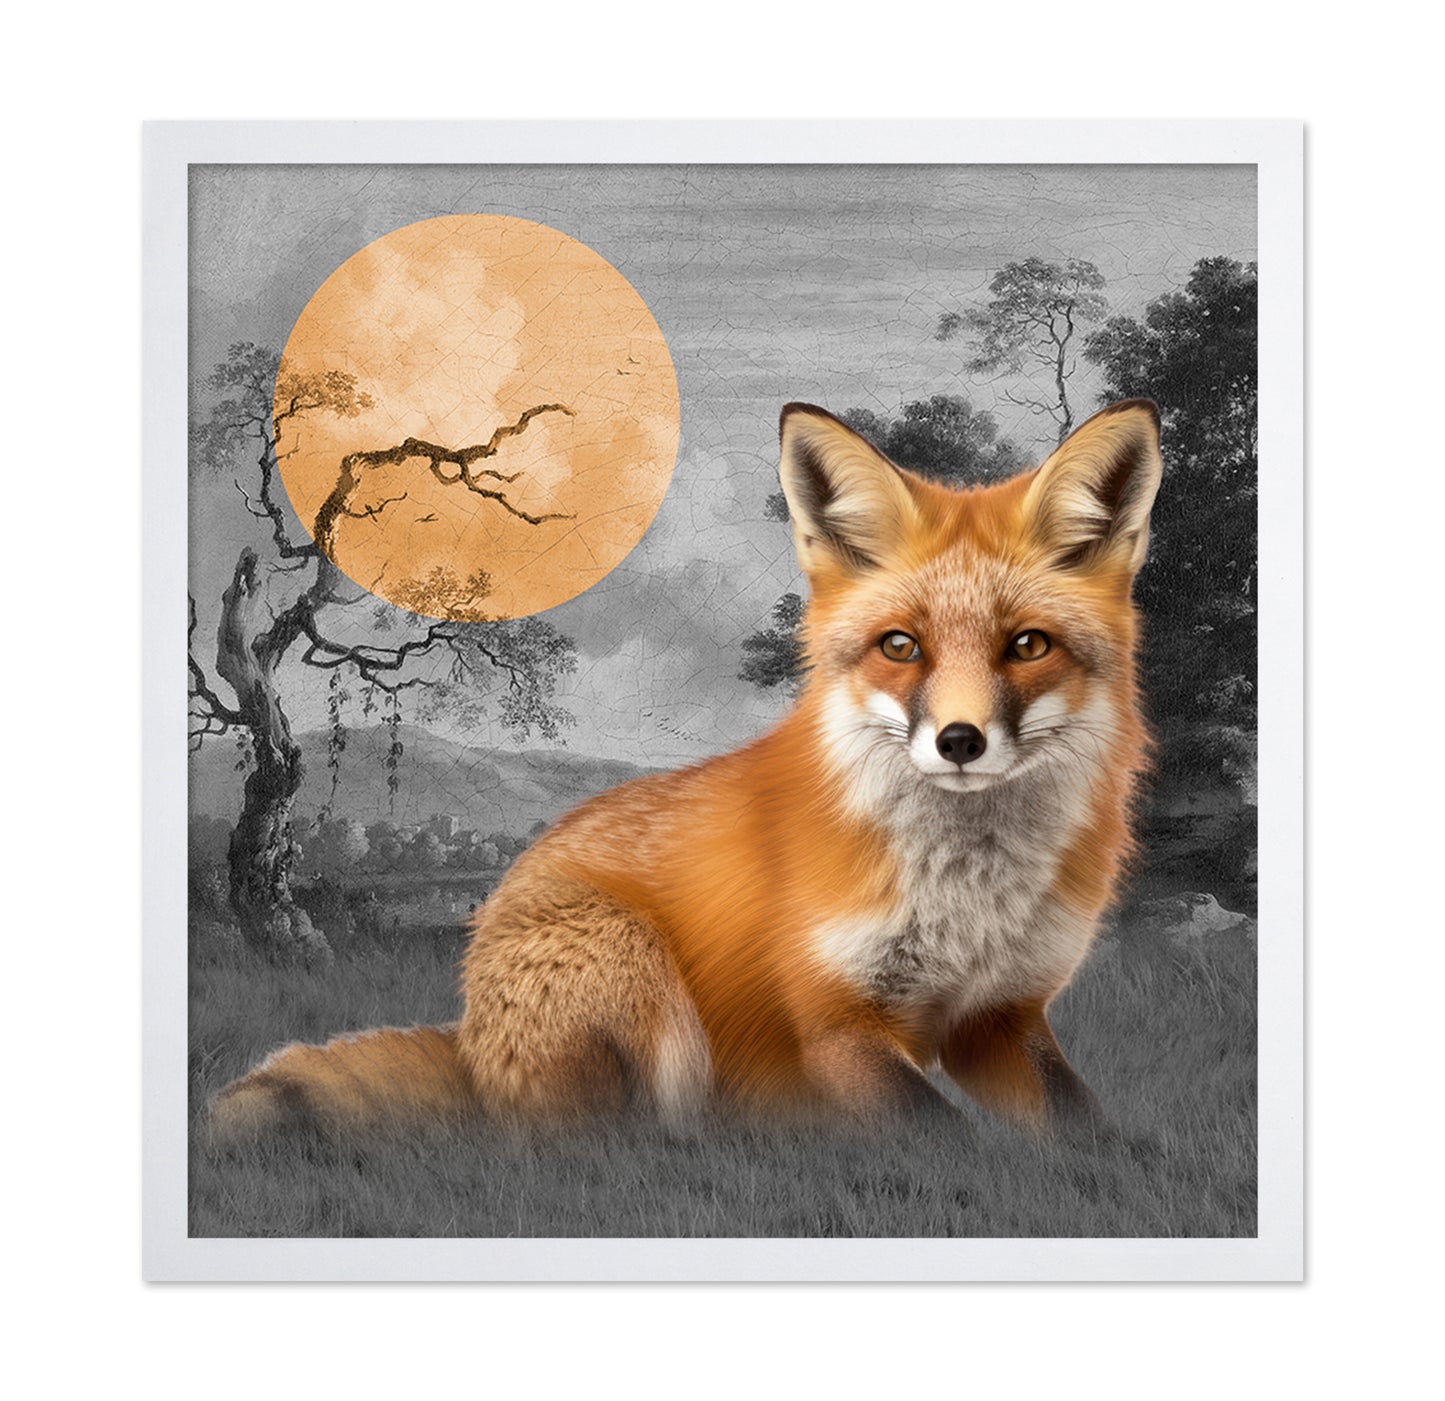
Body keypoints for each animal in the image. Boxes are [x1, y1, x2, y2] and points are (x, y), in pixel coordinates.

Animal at [209, 397, 1163, 1144]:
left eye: (1027, 645)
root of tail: (471, 1041)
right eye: (901, 647)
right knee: (626, 1141)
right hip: (635, 967)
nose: (959, 741)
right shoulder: (835, 1023)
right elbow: (956, 1142)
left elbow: (1090, 1132)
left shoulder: (998, 1019)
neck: (968, 897)